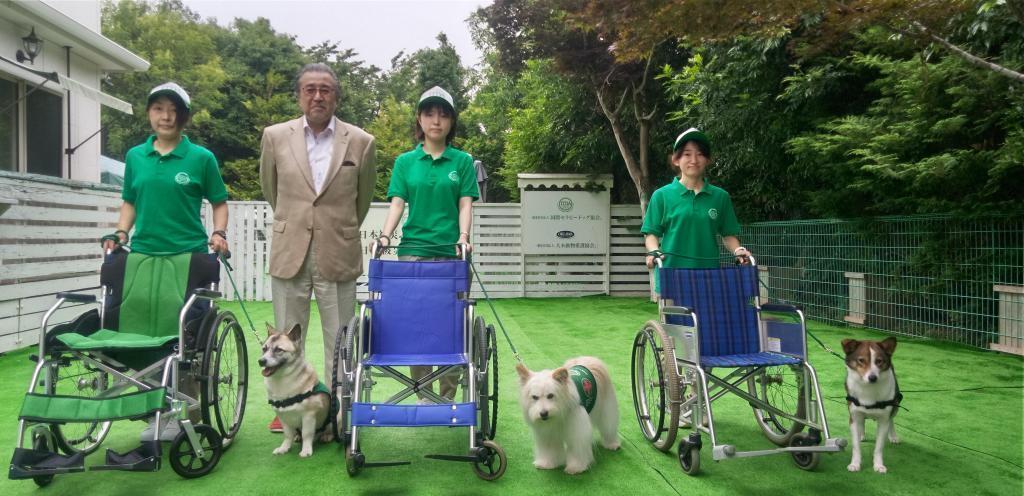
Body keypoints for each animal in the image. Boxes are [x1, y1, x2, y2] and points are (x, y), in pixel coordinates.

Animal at [258, 323, 333, 459]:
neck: (282, 380)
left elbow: (307, 434)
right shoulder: (283, 417)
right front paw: (284, 448)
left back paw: (327, 436)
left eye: (279, 350)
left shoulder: (309, 415)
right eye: (264, 349)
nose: (261, 361)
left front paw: (306, 449)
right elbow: (287, 435)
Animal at [843, 336, 901, 473]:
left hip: (896, 403)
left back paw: (893, 436)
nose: (873, 377)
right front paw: (855, 463)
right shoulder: (853, 416)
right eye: (861, 360)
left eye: (879, 361)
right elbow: (856, 446)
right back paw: (861, 434)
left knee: (892, 419)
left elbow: (879, 447)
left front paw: (878, 465)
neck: (868, 388)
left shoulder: (884, 420)